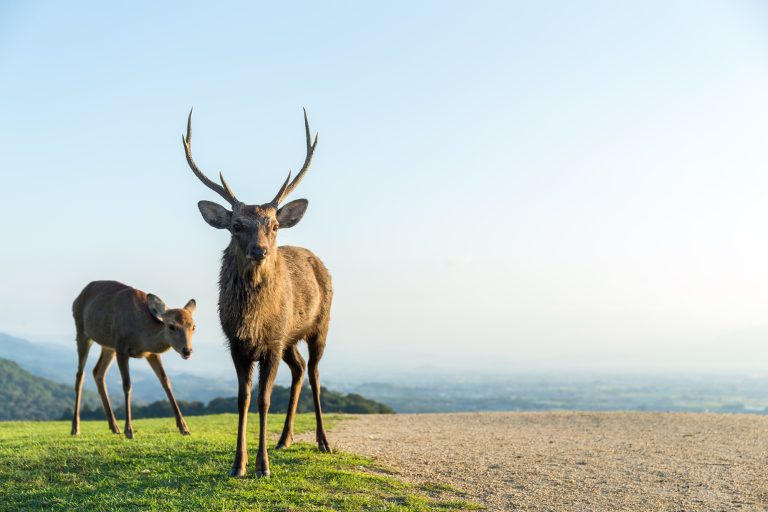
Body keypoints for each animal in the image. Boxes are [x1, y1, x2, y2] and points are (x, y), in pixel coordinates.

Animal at [71, 280, 197, 439]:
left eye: (194, 326)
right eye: (171, 326)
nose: (187, 350)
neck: (141, 333)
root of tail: (76, 299)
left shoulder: (151, 353)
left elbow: (166, 381)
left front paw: (184, 427)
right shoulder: (121, 347)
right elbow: (127, 385)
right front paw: (129, 430)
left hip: (108, 345)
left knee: (98, 372)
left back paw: (114, 427)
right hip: (82, 331)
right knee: (80, 375)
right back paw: (75, 428)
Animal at [182, 108, 333, 478]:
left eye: (274, 225)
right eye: (236, 226)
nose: (260, 251)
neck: (252, 321)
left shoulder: (272, 343)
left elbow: (264, 400)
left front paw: (263, 467)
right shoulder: (236, 343)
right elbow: (243, 399)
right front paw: (238, 464)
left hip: (320, 325)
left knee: (315, 372)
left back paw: (323, 441)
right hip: (290, 338)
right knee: (299, 368)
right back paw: (284, 439)